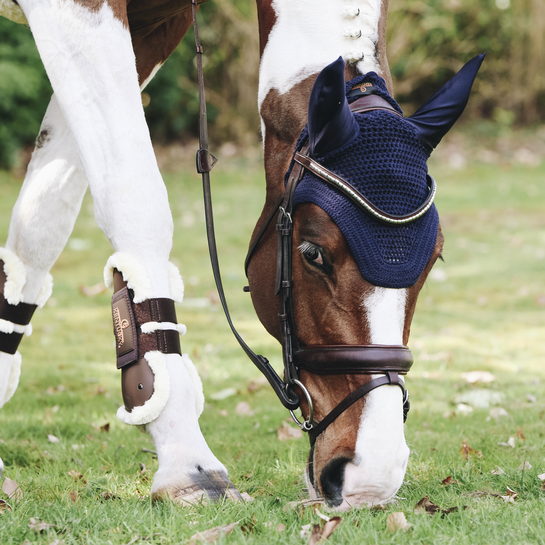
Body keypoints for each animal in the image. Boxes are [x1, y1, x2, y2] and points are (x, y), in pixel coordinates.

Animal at [0, 0, 482, 508]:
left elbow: (43, 217)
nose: (370, 476)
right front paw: (189, 464)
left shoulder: (152, 28)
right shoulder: (77, 12)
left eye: (433, 260)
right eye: (313, 252)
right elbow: (134, 201)